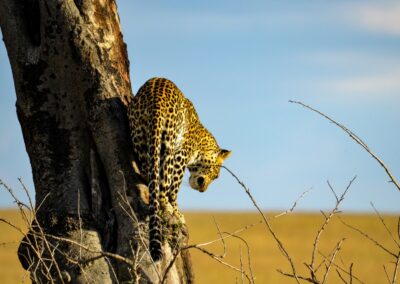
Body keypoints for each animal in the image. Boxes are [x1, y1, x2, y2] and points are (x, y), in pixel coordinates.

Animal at [126, 76, 230, 260]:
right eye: (216, 176)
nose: (203, 190)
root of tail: (156, 99)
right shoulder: (182, 155)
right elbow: (174, 189)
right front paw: (177, 212)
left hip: (139, 136)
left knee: (149, 173)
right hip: (169, 144)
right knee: (164, 184)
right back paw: (167, 206)